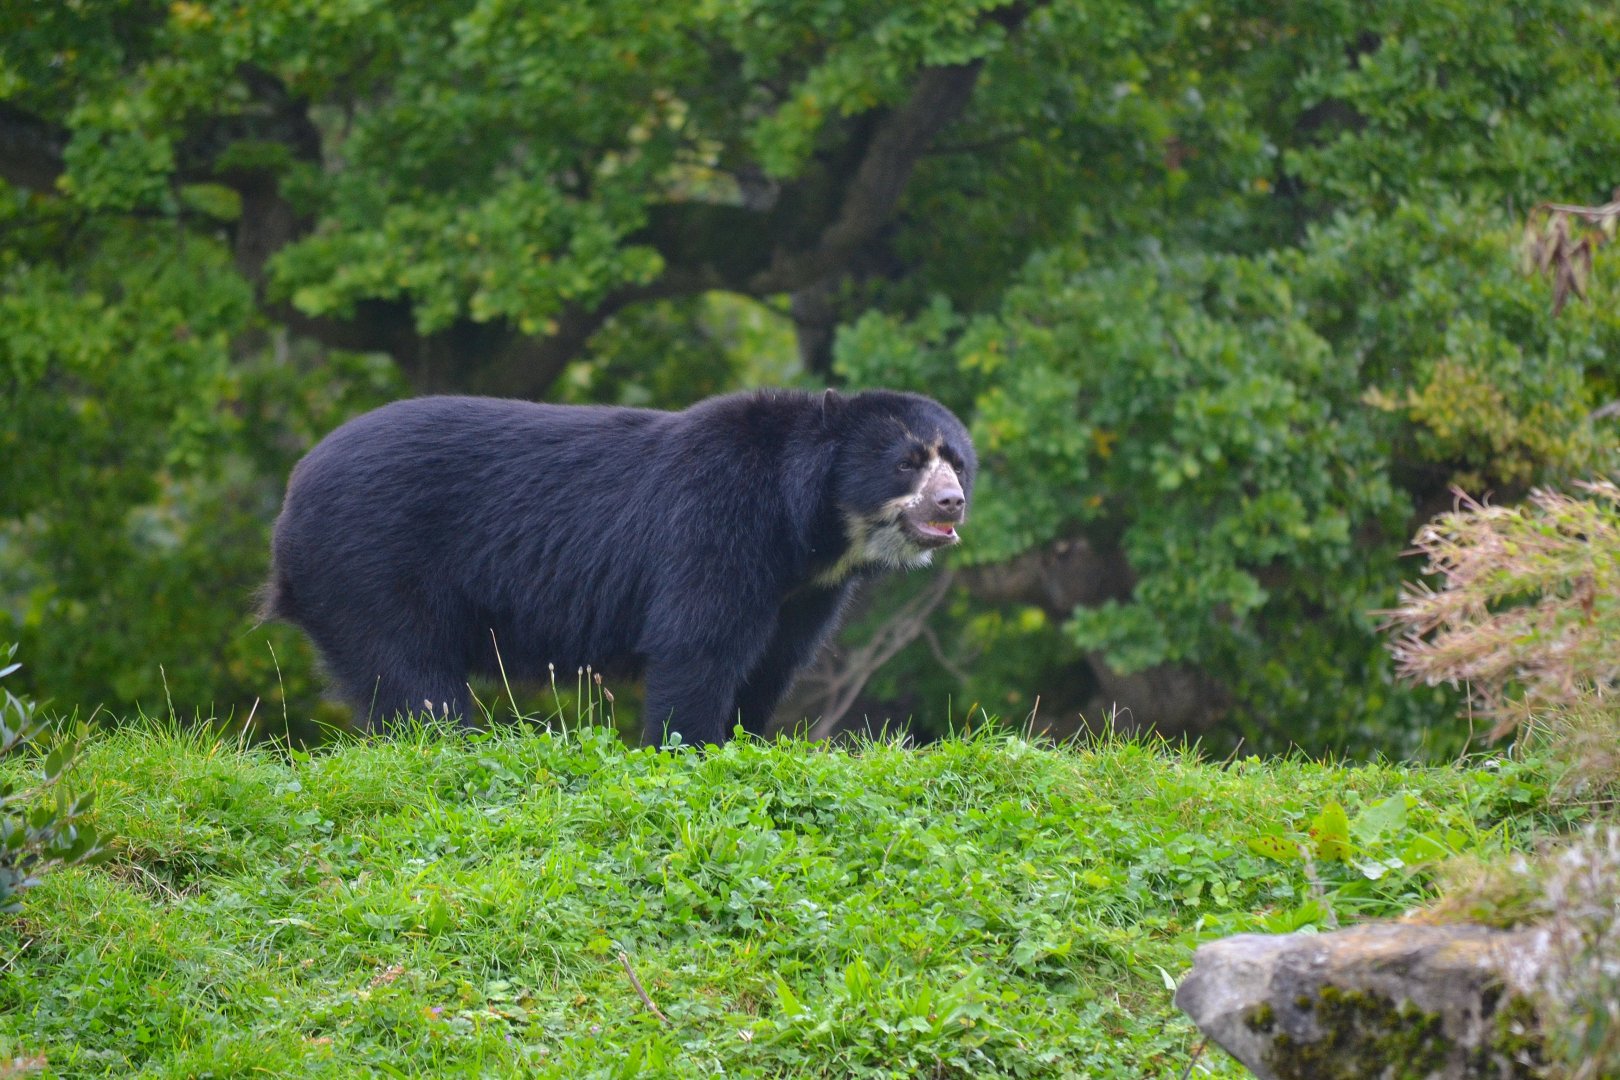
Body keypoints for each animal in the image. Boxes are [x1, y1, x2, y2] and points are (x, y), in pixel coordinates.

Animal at [263, 388, 975, 746]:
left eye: (958, 463)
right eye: (907, 462)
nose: (952, 503)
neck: (812, 528)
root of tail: (292, 492)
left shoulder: (803, 593)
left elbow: (770, 664)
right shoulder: (718, 524)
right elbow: (698, 646)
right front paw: (690, 748)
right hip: (371, 563)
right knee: (410, 673)